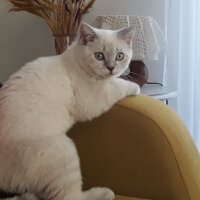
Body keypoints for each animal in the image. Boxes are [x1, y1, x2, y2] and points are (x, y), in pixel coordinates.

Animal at [0, 22, 140, 199]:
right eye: (99, 56)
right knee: (71, 196)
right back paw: (105, 192)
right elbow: (118, 85)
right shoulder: (92, 100)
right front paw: (136, 87)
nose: (111, 68)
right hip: (64, 152)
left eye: (119, 56)